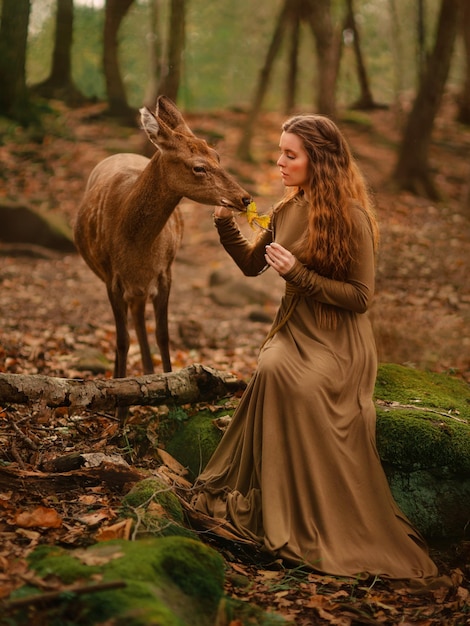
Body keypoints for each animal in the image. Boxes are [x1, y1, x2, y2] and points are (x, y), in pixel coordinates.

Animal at [73, 95, 252, 410]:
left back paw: (147, 375)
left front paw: (171, 395)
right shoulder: (111, 277)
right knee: (129, 328)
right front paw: (119, 405)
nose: (244, 198)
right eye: (198, 167)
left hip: (141, 287)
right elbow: (122, 340)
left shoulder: (165, 271)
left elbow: (163, 334)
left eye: (217, 155)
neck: (135, 244)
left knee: (139, 319)